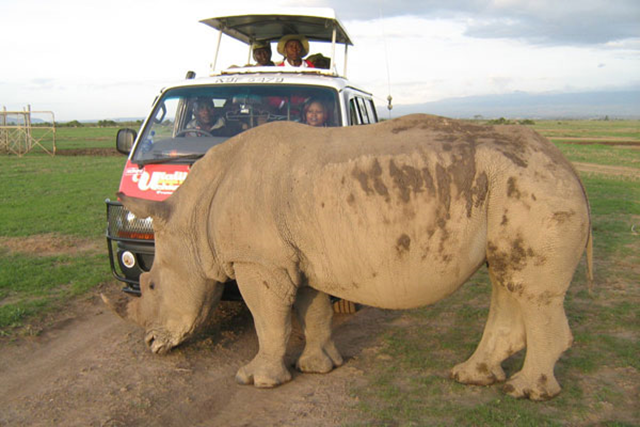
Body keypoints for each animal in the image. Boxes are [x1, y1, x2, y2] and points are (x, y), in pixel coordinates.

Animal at [106, 114, 593, 401]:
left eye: (153, 285)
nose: (150, 344)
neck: (190, 218)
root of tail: (568, 165)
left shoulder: (259, 261)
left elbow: (267, 319)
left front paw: (256, 380)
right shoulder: (299, 257)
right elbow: (315, 311)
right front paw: (320, 368)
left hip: (534, 186)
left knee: (529, 289)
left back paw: (527, 392)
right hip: (514, 187)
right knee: (506, 277)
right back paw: (472, 376)